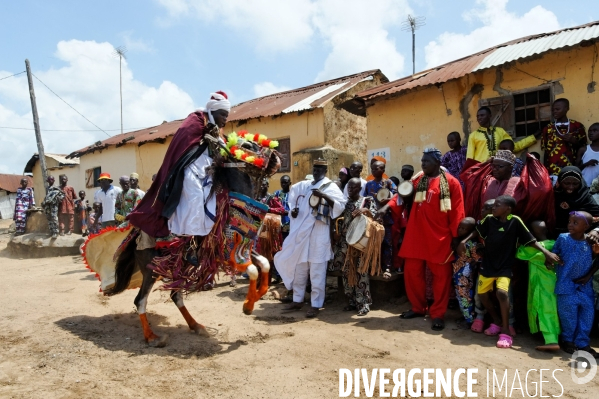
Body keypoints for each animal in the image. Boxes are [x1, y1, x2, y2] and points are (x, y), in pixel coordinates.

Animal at [81, 114, 282, 346]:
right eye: (248, 146)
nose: (275, 158)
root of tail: (136, 235)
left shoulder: (244, 247)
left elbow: (265, 264)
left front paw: (252, 302)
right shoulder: (225, 252)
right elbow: (253, 270)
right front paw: (248, 304)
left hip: (173, 266)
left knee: (174, 295)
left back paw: (196, 325)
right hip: (151, 269)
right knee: (140, 300)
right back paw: (152, 337)